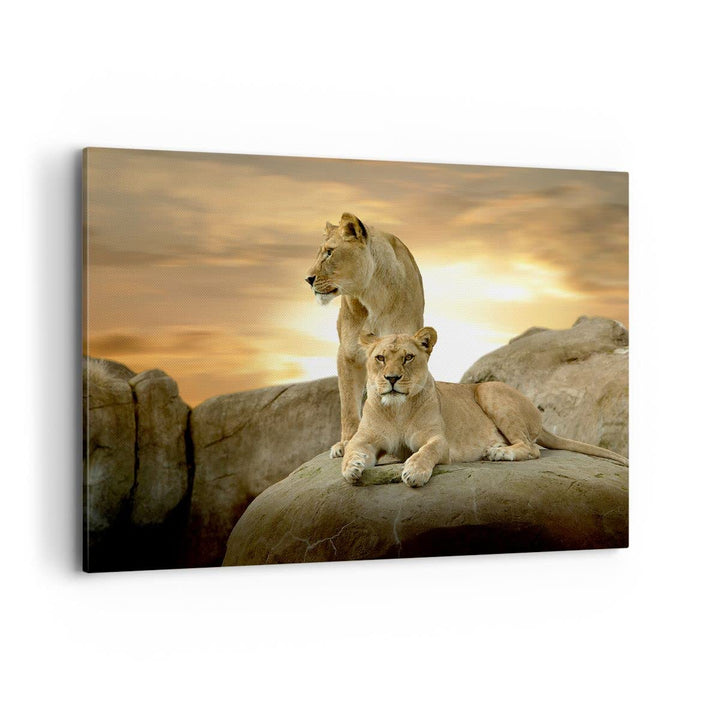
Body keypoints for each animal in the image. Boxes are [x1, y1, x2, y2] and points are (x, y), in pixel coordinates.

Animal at [305, 213, 424, 458]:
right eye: (320, 252)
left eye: (329, 252)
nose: (308, 279)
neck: (372, 294)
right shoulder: (349, 354)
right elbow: (348, 403)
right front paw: (347, 443)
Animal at [341, 327, 629, 487]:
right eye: (380, 358)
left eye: (408, 357)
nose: (391, 378)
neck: (397, 410)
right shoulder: (365, 438)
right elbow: (352, 449)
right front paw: (351, 468)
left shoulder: (438, 440)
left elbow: (425, 452)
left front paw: (414, 472)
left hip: (490, 391)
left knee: (532, 448)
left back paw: (498, 452)